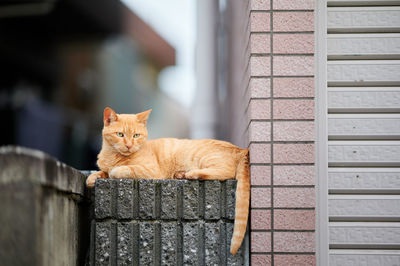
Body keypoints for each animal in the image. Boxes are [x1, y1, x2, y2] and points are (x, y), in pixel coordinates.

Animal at [86, 107, 250, 255]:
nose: (129, 145)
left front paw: (114, 171)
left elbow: (122, 170)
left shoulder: (151, 171)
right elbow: (101, 172)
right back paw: (181, 174)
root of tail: (240, 149)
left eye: (136, 135)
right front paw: (93, 177)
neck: (114, 157)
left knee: (226, 172)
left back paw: (191, 174)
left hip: (205, 158)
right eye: (120, 134)